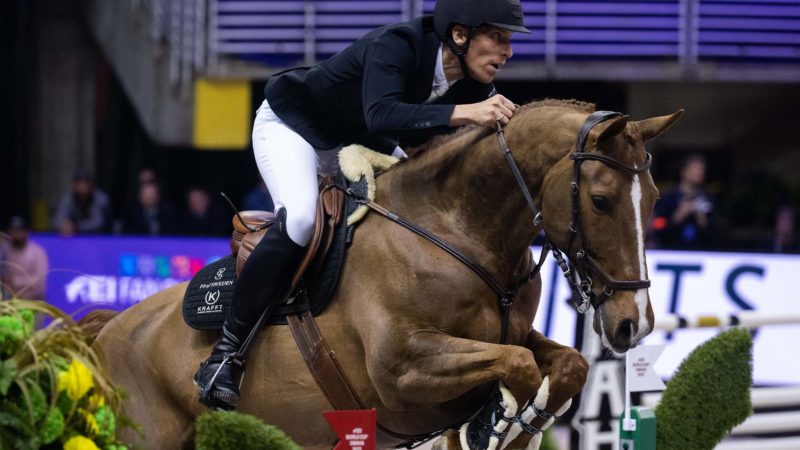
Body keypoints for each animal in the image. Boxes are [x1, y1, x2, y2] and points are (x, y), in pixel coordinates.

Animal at [90, 100, 680, 448]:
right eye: (601, 201)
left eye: (654, 198)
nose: (634, 324)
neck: (461, 231)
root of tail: (108, 328)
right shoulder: (403, 368)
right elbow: (518, 366)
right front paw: (492, 420)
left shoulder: (515, 333)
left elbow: (567, 364)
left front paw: (515, 421)